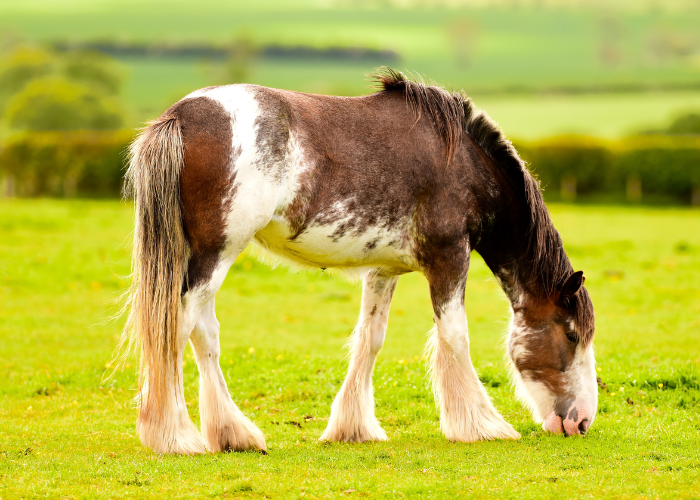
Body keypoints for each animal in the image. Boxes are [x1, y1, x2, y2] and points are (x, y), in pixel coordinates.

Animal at [120, 68, 597, 455]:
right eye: (572, 334)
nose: (582, 422)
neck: (463, 163)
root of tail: (180, 117)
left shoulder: (384, 270)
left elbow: (371, 339)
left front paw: (353, 428)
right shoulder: (449, 257)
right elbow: (455, 336)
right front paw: (482, 425)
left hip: (207, 258)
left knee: (205, 335)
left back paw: (233, 434)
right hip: (215, 254)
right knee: (176, 327)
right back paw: (175, 436)